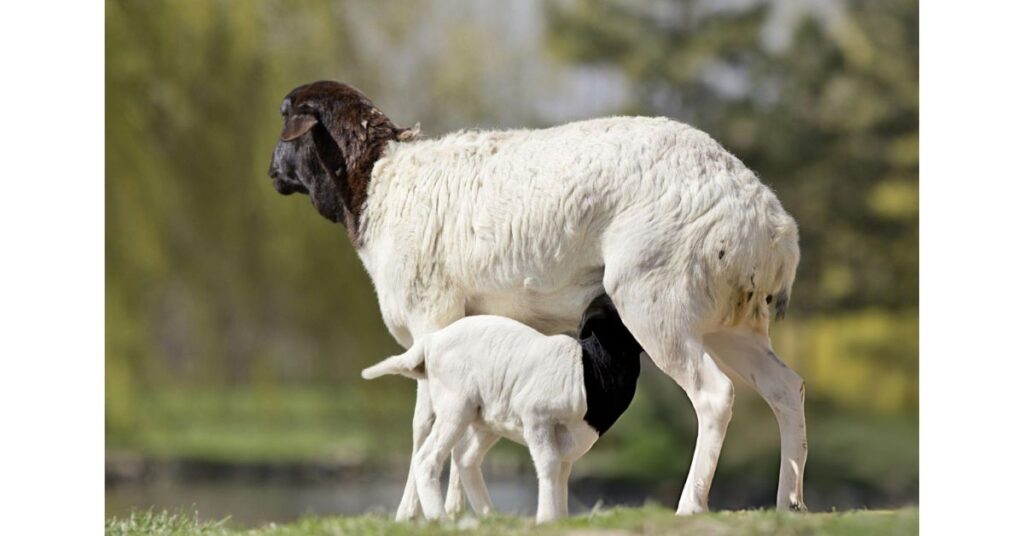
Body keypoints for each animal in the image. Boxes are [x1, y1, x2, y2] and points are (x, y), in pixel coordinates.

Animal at [361, 295, 644, 523]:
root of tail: (431, 341)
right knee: (427, 459)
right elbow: (549, 465)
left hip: (487, 419)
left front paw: (560, 519)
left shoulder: (568, 441)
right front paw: (546, 519)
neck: (589, 369)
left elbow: (563, 475)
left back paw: (489, 516)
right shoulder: (536, 418)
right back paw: (440, 519)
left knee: (465, 458)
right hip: (456, 408)